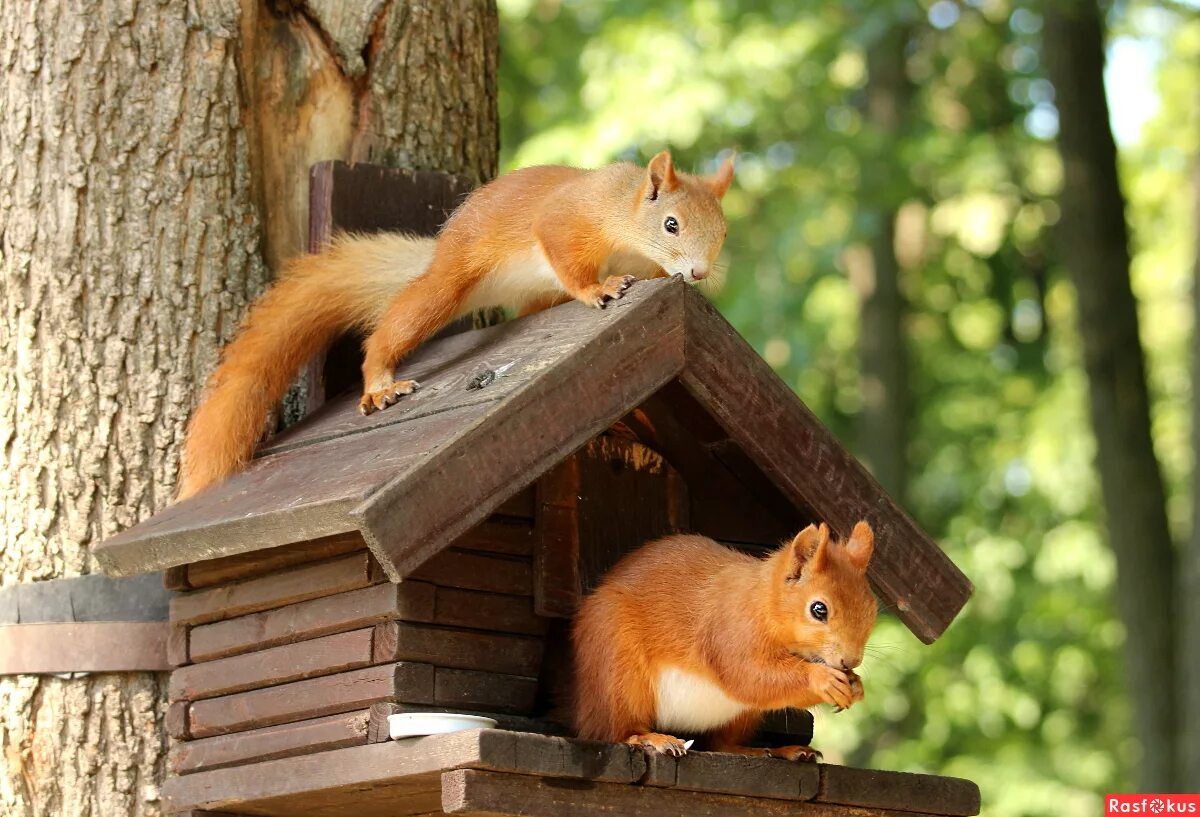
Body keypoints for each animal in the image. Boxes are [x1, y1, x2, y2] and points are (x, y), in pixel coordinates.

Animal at [176, 151, 734, 500]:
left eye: (724, 232)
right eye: (671, 224)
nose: (699, 273)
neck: (626, 213)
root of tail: (442, 249)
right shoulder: (571, 219)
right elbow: (565, 254)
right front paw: (599, 289)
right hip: (449, 284)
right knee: (396, 323)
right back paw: (380, 383)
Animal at [571, 521, 877, 761]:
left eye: (871, 610)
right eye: (818, 609)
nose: (850, 661)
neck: (763, 602)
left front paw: (856, 685)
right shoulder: (729, 631)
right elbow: (748, 676)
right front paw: (822, 679)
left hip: (741, 716)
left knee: (721, 744)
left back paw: (776, 750)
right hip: (619, 671)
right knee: (615, 731)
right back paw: (650, 739)